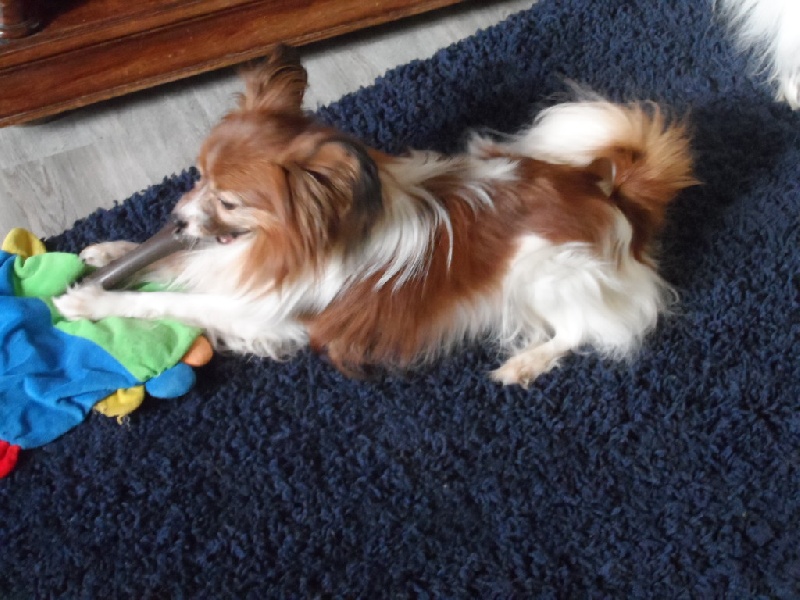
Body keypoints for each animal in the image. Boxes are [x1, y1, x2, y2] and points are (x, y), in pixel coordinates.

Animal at [54, 46, 696, 386]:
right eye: (197, 177)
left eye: (230, 201)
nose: (179, 216)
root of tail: (611, 194)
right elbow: (180, 262)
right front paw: (111, 251)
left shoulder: (265, 311)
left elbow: (173, 302)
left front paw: (90, 300)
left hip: (544, 271)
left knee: (591, 328)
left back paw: (525, 363)